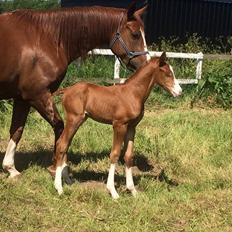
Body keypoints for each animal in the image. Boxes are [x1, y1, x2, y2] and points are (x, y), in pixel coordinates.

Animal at [54, 52, 181, 198]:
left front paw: (132, 190)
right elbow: (114, 154)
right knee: (62, 145)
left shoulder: (131, 127)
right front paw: (113, 191)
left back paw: (67, 180)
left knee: (65, 145)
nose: (180, 92)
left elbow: (128, 156)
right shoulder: (119, 125)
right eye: (167, 73)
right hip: (74, 119)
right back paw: (59, 188)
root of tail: (67, 90)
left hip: (79, 120)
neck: (133, 93)